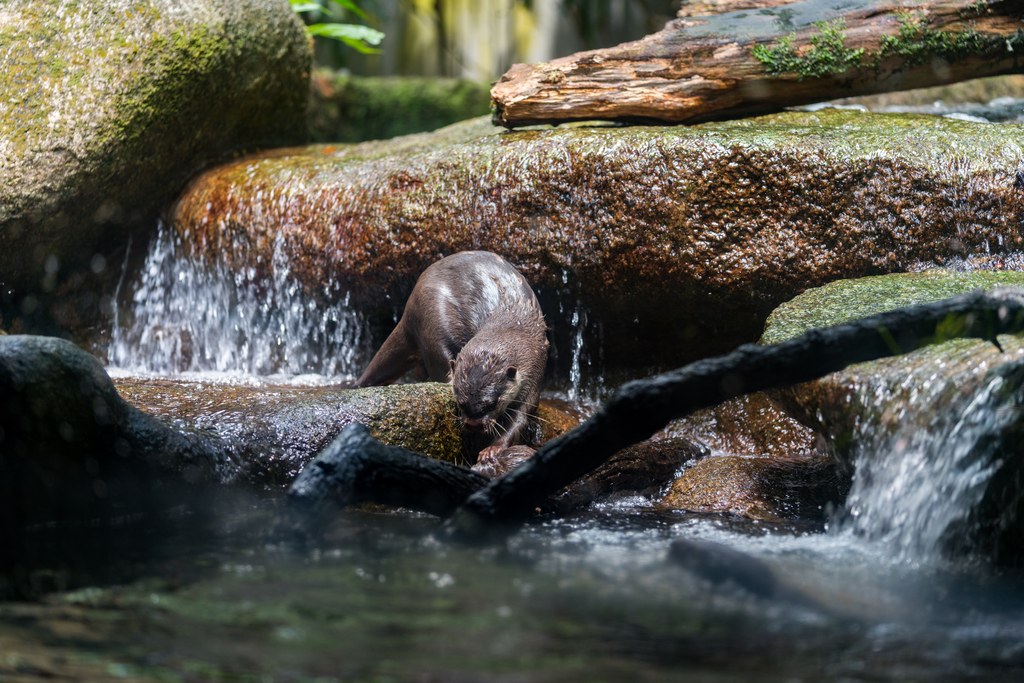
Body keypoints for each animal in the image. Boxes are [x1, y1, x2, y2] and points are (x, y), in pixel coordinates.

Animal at [354, 250, 548, 458]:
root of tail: (408, 312)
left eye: (491, 404)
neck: (513, 324)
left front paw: (493, 449)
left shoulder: (534, 374)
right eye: (460, 403)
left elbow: (520, 419)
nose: (474, 425)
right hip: (431, 319)